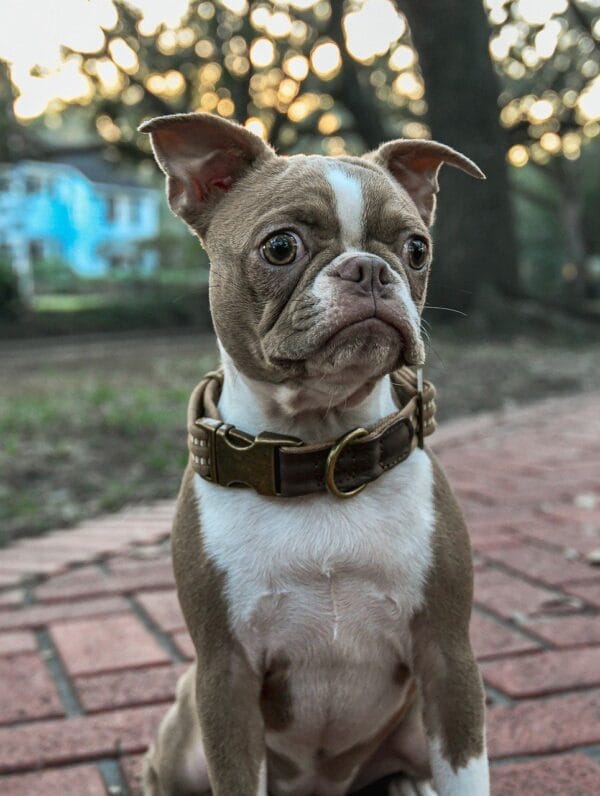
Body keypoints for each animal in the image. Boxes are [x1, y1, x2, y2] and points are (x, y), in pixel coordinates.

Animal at [142, 113, 492, 796]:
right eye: (281, 247)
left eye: (416, 249)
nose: (371, 269)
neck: (318, 453)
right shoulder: (225, 678)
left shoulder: (448, 659)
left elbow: (467, 775)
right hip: (186, 720)